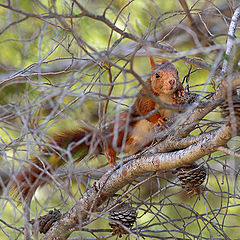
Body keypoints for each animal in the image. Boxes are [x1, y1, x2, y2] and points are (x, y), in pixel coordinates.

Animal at [10, 57, 184, 202]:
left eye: (177, 72)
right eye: (157, 75)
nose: (172, 81)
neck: (164, 96)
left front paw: (180, 93)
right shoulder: (144, 96)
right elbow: (145, 110)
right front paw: (158, 119)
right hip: (123, 127)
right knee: (113, 139)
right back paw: (110, 152)